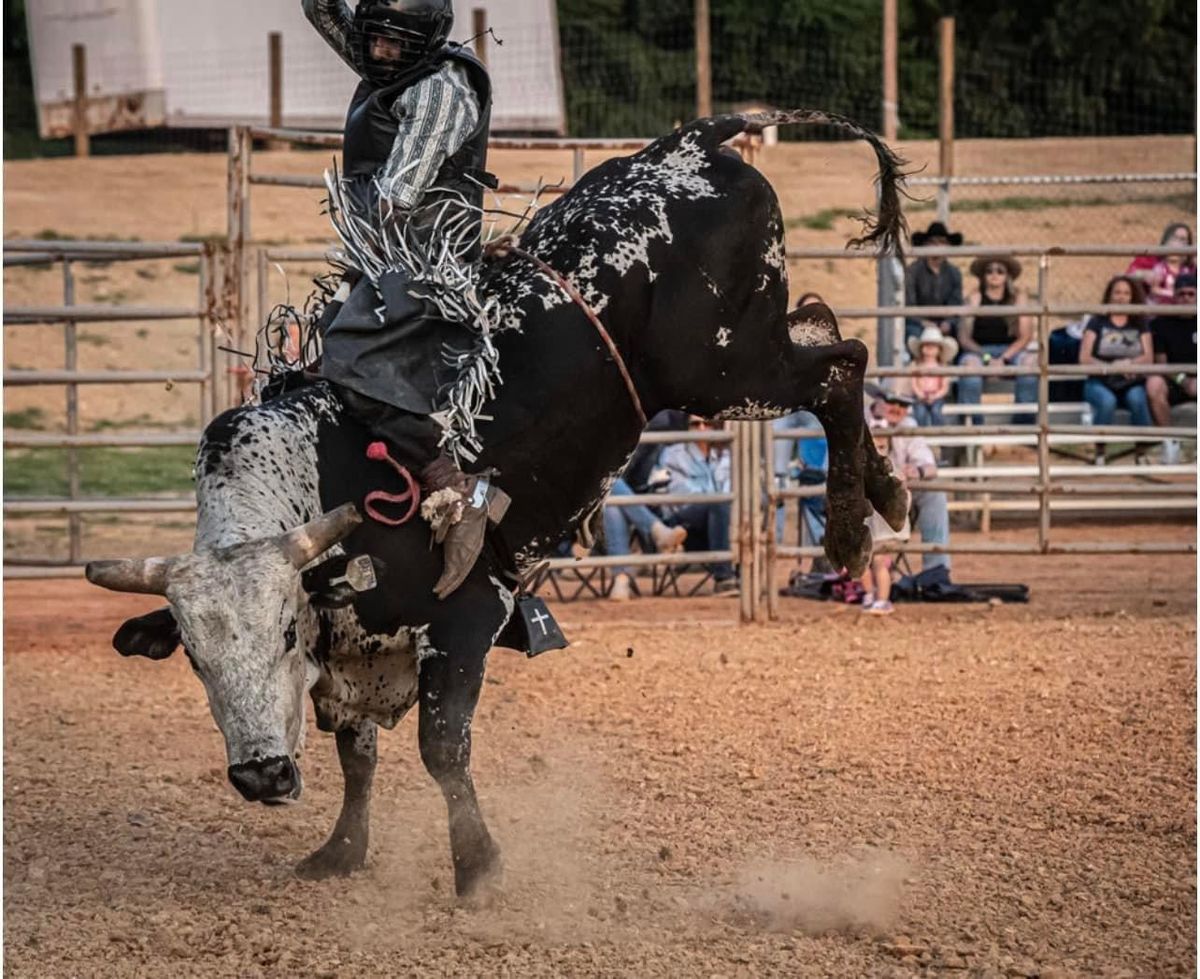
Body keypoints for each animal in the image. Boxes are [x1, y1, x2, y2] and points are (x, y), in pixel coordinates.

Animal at [87, 110, 907, 897]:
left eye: (287, 631)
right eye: (194, 658)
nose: (260, 775)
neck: (324, 476)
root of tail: (689, 144)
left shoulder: (464, 619)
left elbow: (441, 750)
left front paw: (477, 869)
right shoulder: (356, 648)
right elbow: (358, 754)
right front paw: (341, 851)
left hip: (725, 368)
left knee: (842, 365)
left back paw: (852, 527)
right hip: (748, 351)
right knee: (826, 325)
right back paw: (883, 493)